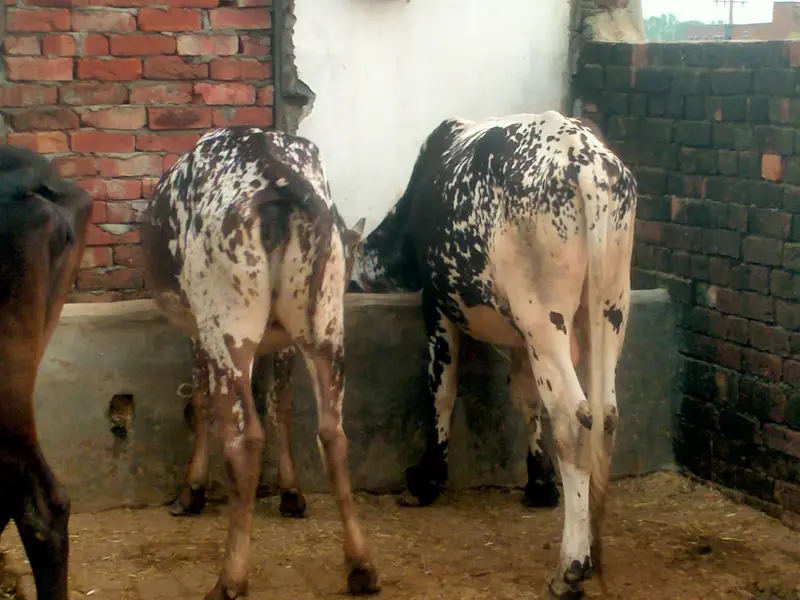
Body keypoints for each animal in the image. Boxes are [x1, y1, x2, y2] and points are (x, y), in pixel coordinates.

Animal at [140, 127, 379, 600]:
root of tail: (277, 175)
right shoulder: (283, 340)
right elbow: (281, 404)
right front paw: (291, 492)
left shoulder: (199, 329)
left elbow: (200, 403)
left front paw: (191, 491)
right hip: (324, 325)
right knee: (333, 433)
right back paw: (361, 566)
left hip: (227, 320)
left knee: (245, 439)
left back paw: (230, 578)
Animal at [351, 111, 638, 599]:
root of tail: (585, 163)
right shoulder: (523, 339)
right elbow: (524, 399)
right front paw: (539, 483)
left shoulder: (438, 305)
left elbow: (442, 391)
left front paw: (425, 479)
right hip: (608, 306)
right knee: (605, 414)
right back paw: (593, 549)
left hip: (545, 316)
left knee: (572, 418)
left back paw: (570, 567)